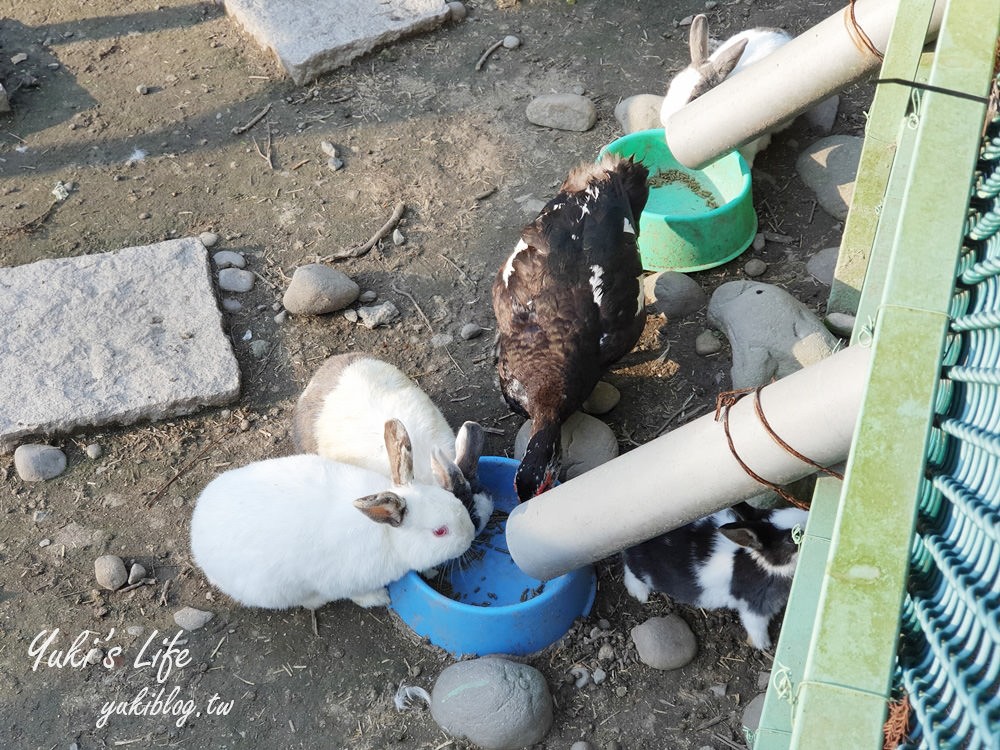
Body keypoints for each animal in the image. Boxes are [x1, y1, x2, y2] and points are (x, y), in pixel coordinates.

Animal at [195, 420, 480, 632]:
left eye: (453, 499)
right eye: (440, 532)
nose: (471, 534)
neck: (388, 536)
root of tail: (196, 535)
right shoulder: (346, 581)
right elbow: (359, 595)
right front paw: (380, 598)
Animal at [620, 506, 808, 652]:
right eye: (793, 537)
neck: (765, 563)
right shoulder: (754, 606)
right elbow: (756, 626)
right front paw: (763, 645)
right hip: (642, 569)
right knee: (630, 570)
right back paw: (639, 594)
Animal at [660, 13, 792, 167]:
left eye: (694, 98)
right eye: (673, 84)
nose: (664, 119)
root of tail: (785, 36)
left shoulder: (750, 140)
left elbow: (748, 155)